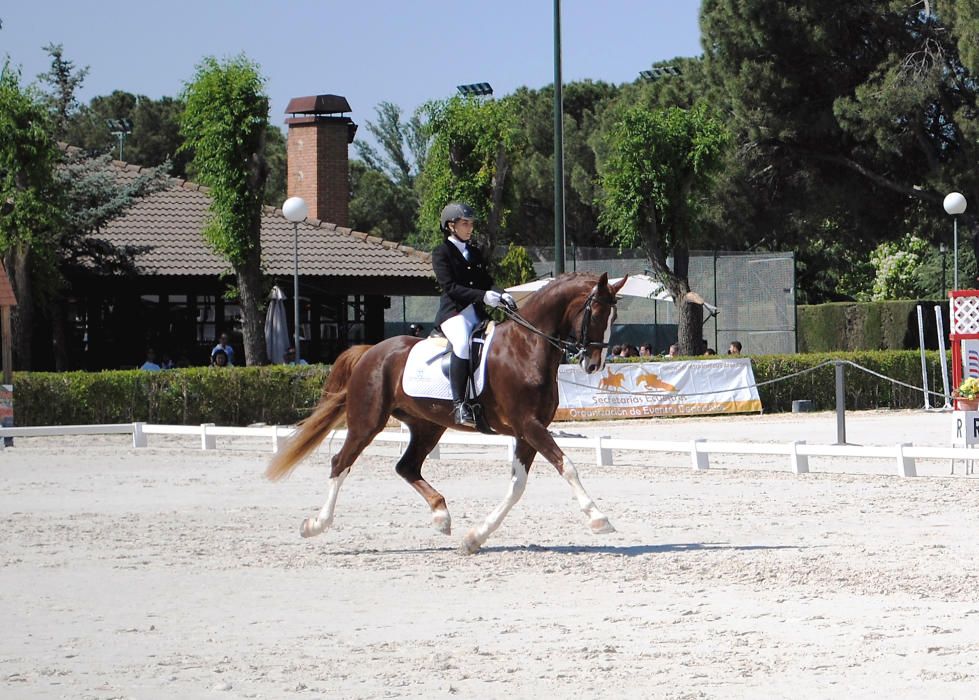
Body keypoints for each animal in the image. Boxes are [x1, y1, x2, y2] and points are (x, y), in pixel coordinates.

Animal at [266, 272, 628, 552]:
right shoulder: (529, 425)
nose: (593, 364)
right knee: (340, 463)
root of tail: (370, 351)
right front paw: (599, 518)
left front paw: (475, 538)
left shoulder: (528, 430)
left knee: (406, 466)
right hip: (367, 421)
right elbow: (567, 467)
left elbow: (517, 486)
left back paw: (441, 516)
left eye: (614, 319)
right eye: (596, 313)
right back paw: (315, 524)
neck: (527, 346)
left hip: (427, 426)